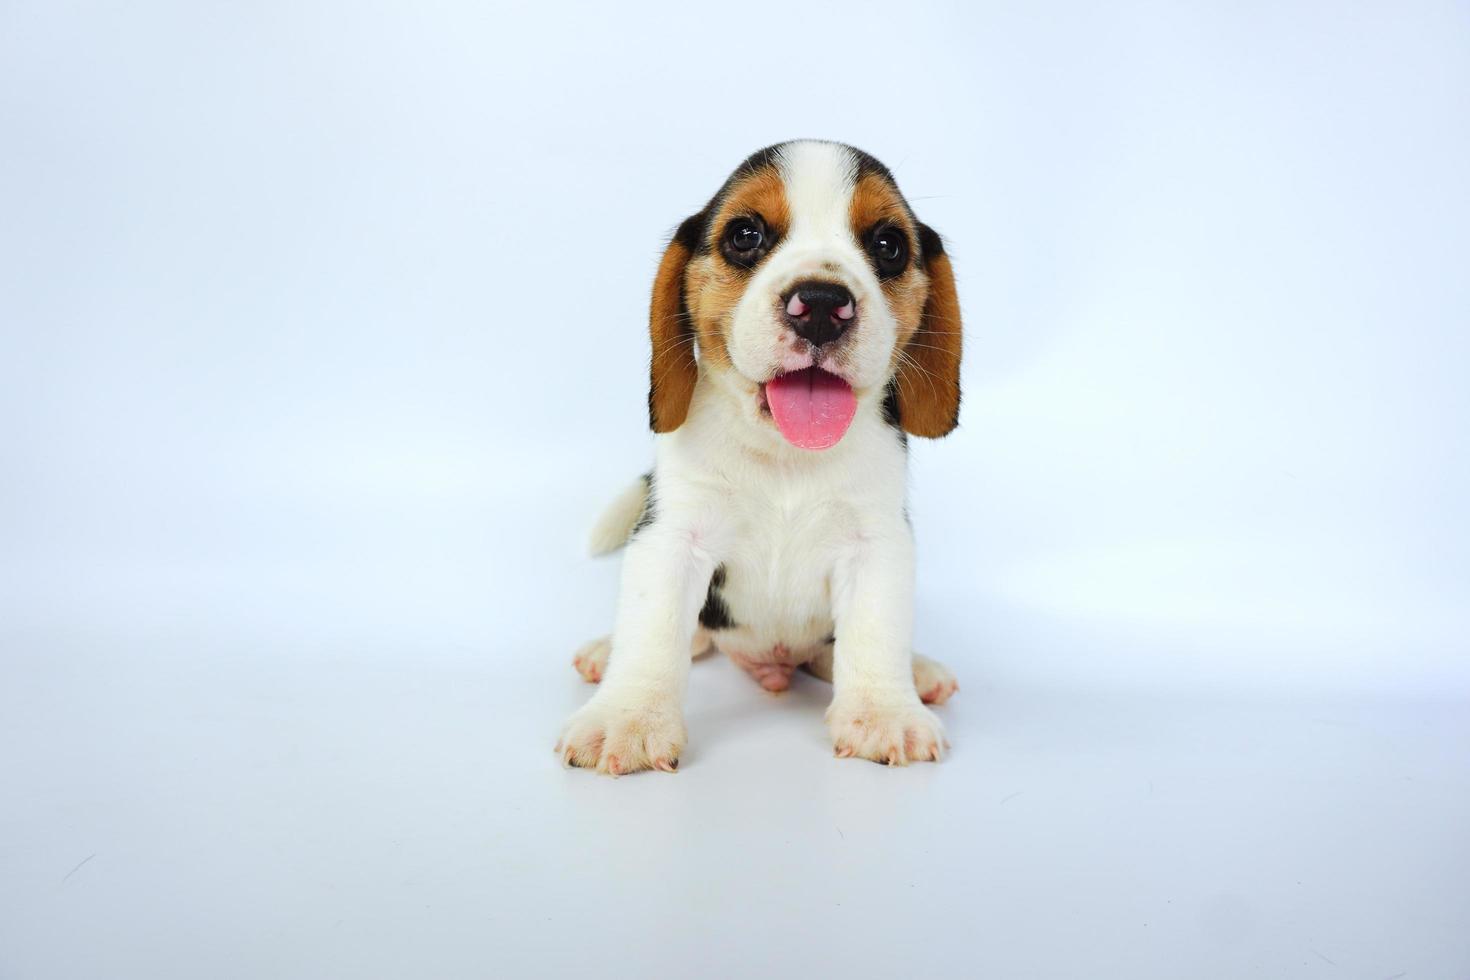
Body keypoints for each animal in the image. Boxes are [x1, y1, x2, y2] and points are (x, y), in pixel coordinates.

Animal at [555, 141, 958, 775]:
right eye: (745, 235)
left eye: (889, 246)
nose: (821, 304)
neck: (785, 456)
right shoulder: (672, 537)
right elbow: (652, 629)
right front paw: (628, 716)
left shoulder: (878, 542)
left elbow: (875, 630)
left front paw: (885, 711)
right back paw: (606, 650)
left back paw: (918, 671)